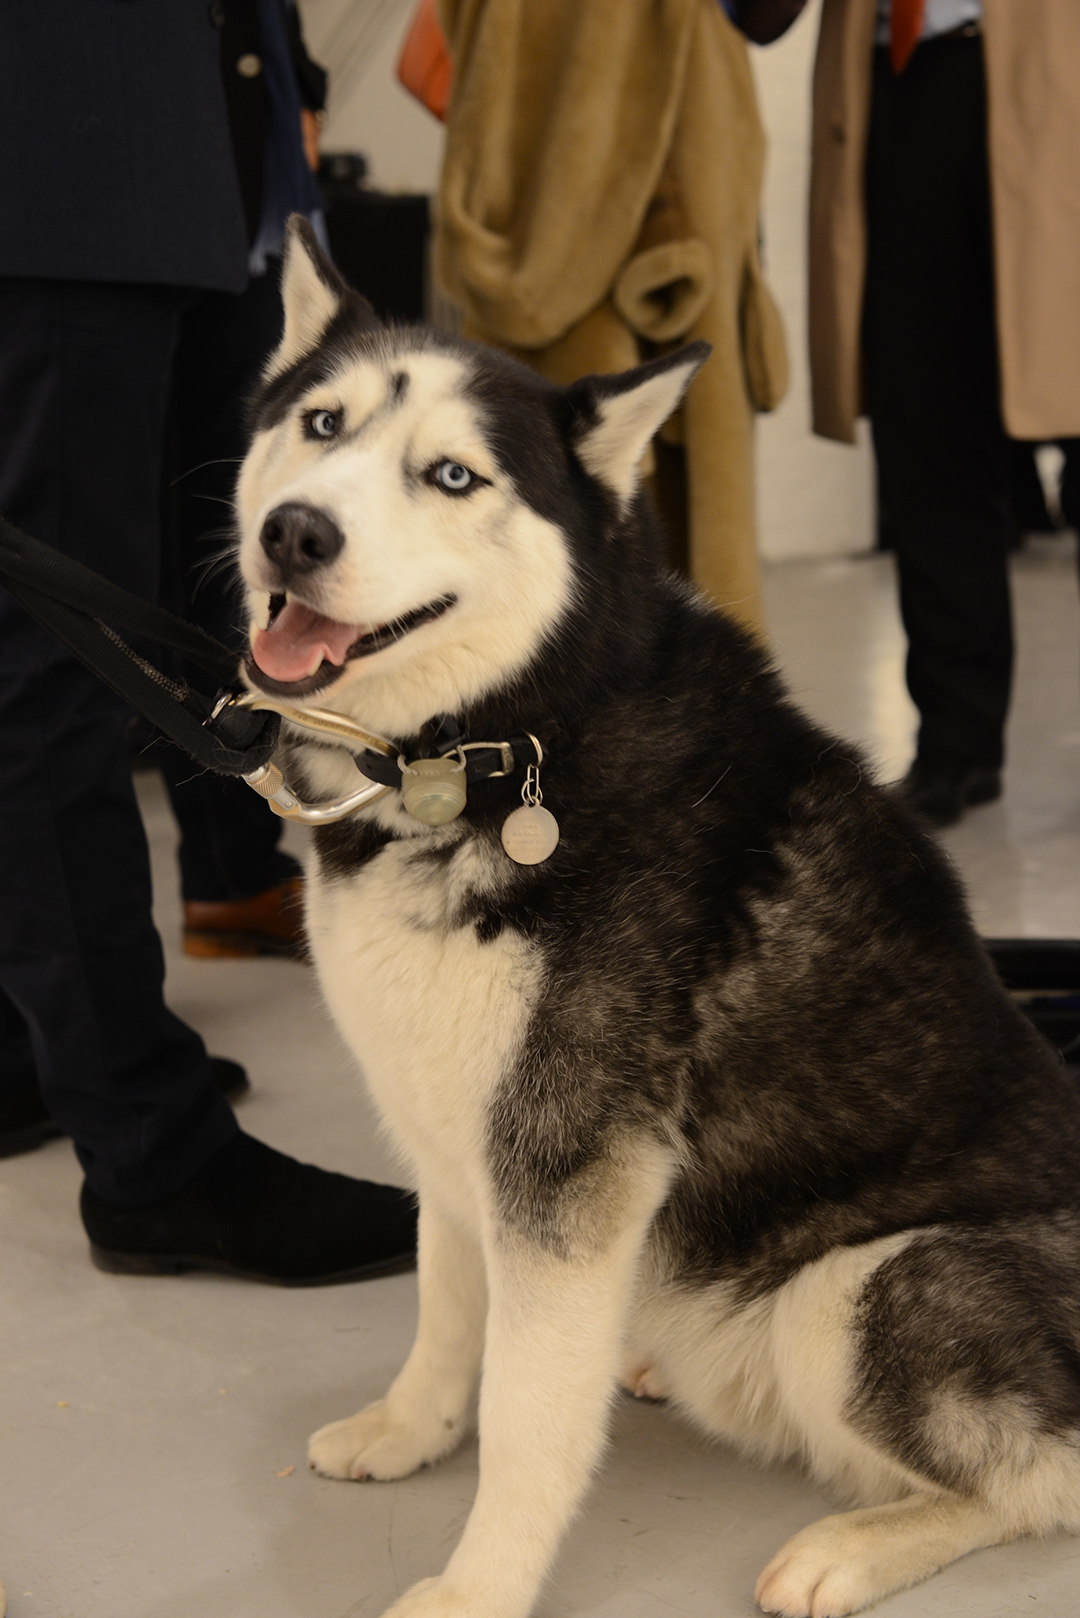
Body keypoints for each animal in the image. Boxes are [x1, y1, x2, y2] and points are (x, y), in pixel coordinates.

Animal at [234, 224, 1080, 1618]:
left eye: (452, 474)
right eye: (321, 423)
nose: (293, 532)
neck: (503, 739)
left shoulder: (562, 1163)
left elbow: (527, 1414)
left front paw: (478, 1587)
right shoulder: (450, 1123)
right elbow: (446, 1307)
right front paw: (411, 1429)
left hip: (861, 1286)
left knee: (1038, 1478)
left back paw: (848, 1549)